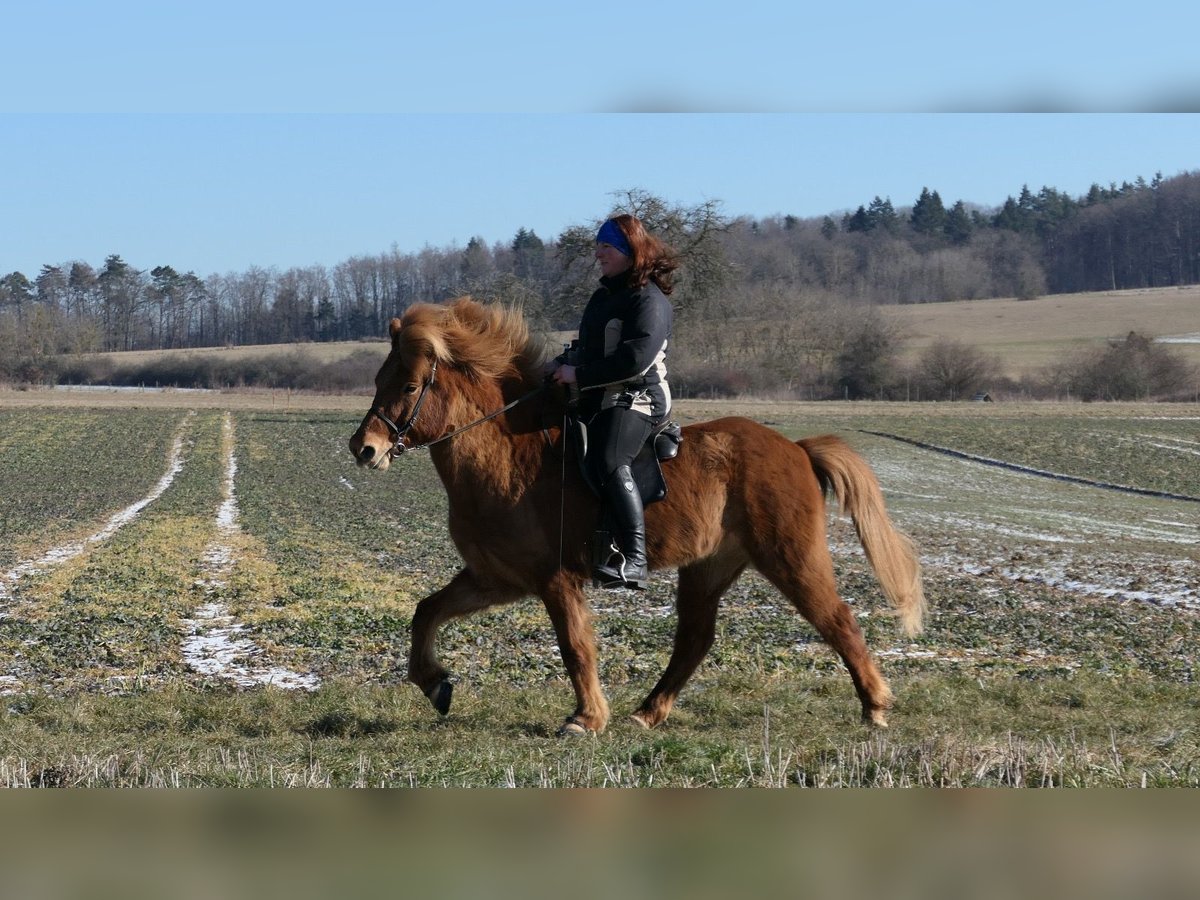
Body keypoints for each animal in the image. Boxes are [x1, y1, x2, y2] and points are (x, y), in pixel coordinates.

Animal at [348, 300, 926, 734]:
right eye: (379, 378)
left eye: (408, 386)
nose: (364, 449)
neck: (507, 454)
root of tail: (797, 449)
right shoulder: (496, 578)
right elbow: (426, 610)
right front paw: (435, 684)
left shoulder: (555, 579)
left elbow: (575, 646)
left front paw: (586, 718)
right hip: (709, 566)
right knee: (695, 640)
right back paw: (648, 713)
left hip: (790, 557)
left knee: (837, 619)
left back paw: (875, 706)